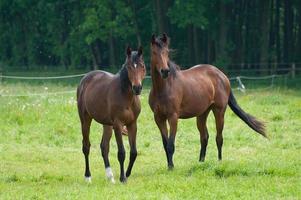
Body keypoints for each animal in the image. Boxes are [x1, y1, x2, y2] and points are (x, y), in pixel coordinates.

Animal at [77, 45, 146, 183]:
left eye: (142, 65)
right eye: (129, 67)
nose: (137, 88)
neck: (126, 97)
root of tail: (85, 79)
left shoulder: (132, 124)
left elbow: (134, 152)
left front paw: (127, 173)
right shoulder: (118, 125)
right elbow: (121, 153)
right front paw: (123, 178)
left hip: (107, 124)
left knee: (104, 147)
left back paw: (110, 176)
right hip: (85, 120)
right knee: (86, 146)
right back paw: (88, 177)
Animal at [149, 33, 266, 170]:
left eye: (167, 52)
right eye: (154, 52)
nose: (165, 71)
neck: (164, 88)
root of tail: (222, 76)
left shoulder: (173, 117)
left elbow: (170, 144)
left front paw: (171, 167)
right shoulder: (159, 118)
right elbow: (165, 143)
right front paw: (169, 165)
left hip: (219, 111)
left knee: (219, 138)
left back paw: (219, 161)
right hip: (202, 114)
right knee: (204, 137)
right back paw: (201, 161)